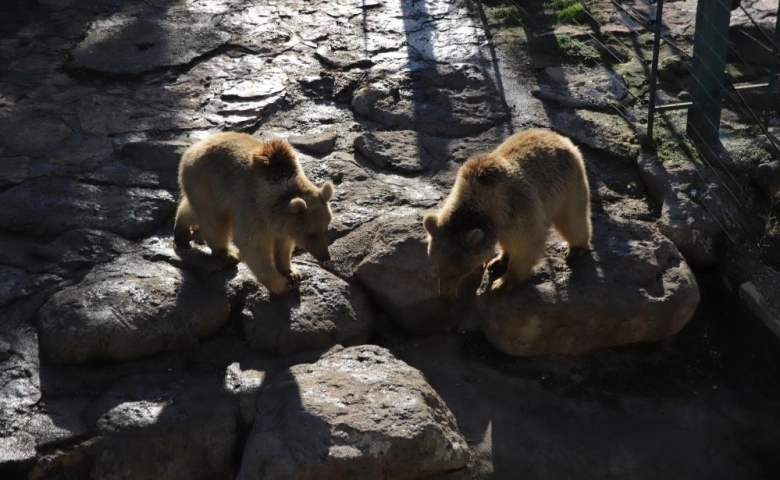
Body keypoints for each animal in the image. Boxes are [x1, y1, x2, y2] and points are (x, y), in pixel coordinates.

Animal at [175, 132, 334, 296]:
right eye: (311, 234)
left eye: (325, 230)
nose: (325, 256)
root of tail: (194, 147)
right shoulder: (252, 208)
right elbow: (253, 244)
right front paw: (281, 284)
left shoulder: (281, 224)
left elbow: (283, 244)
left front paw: (292, 273)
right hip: (208, 183)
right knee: (214, 222)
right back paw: (227, 252)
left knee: (193, 210)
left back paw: (182, 232)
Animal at [426, 129, 592, 298]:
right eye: (436, 270)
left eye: (453, 274)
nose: (444, 296)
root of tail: (558, 137)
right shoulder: (502, 222)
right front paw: (498, 262)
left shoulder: (519, 208)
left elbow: (526, 243)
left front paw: (502, 283)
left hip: (565, 185)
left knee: (572, 219)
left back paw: (577, 248)